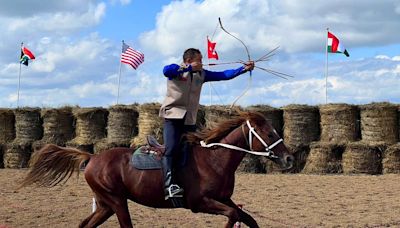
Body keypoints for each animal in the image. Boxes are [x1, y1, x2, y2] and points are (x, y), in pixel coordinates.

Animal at [19, 111, 294, 227]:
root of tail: (92, 156)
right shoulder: (200, 203)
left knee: (85, 225)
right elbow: (234, 216)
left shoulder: (224, 199)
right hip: (117, 202)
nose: (290, 159)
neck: (215, 159)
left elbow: (246, 217)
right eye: (269, 133)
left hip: (106, 205)